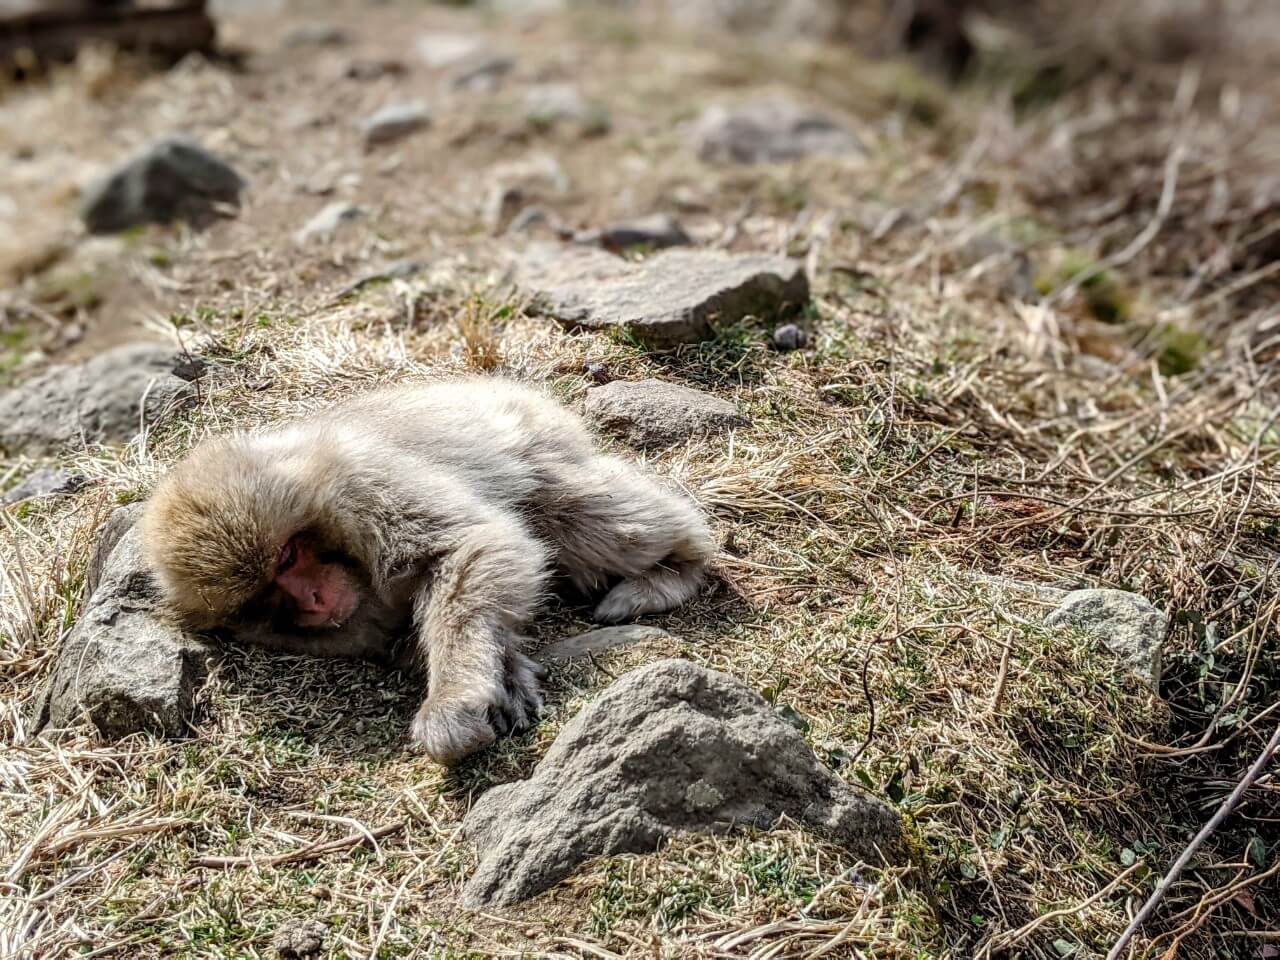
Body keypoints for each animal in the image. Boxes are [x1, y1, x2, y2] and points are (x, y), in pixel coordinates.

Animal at [145, 378, 716, 762]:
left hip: (534, 440)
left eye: (287, 556)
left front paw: (453, 700)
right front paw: (505, 673)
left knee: (584, 515)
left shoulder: (360, 484)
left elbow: (472, 546)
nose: (312, 600)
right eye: (264, 597)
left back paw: (677, 567)